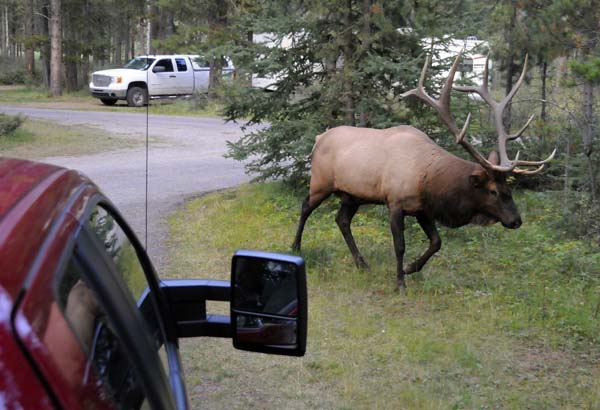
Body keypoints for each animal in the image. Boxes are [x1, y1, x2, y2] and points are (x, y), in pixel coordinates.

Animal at [292, 51, 556, 288]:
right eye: (493, 191)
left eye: (508, 189)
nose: (516, 220)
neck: (430, 182)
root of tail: (319, 138)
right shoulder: (395, 202)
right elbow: (400, 246)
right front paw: (400, 282)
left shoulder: (423, 209)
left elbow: (436, 242)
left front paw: (411, 268)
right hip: (321, 182)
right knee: (305, 207)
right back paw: (296, 246)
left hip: (352, 194)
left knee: (342, 220)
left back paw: (362, 263)